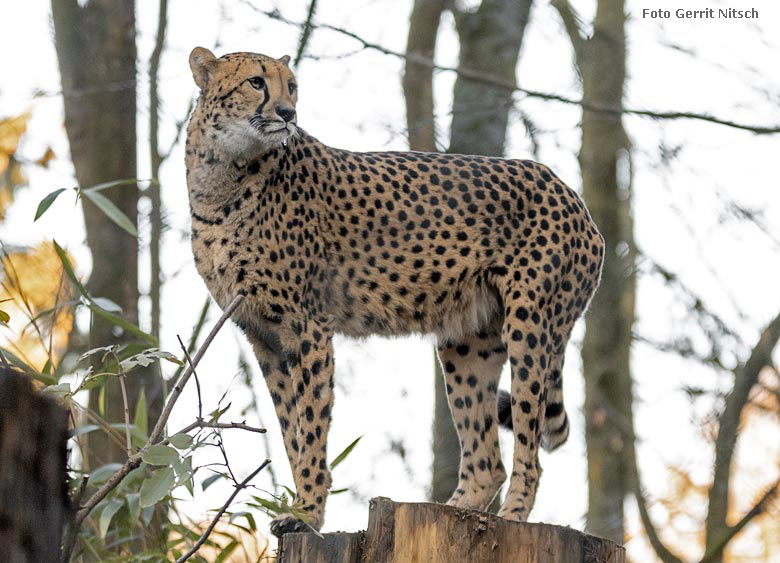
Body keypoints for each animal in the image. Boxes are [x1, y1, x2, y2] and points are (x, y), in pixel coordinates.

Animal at [186, 46, 608, 536]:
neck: (223, 170)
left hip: (531, 328)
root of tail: (570, 192)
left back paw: (514, 516)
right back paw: (453, 510)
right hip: (468, 342)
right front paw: (300, 504)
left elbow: (311, 423)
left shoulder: (307, 326)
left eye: (291, 86)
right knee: (486, 460)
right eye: (256, 82)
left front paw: (307, 513)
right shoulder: (264, 336)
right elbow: (291, 429)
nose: (288, 113)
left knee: (527, 445)